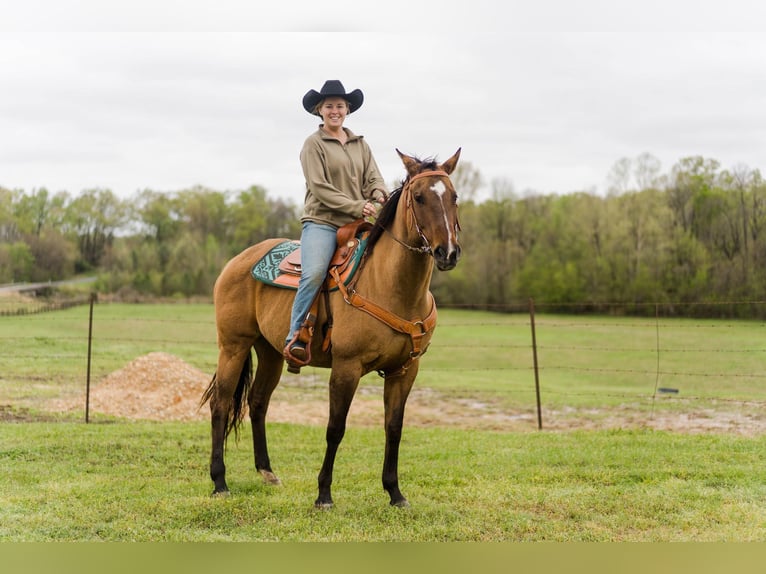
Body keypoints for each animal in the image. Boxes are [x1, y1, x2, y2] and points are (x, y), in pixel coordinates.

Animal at [201, 148, 462, 508]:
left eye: (454, 196)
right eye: (419, 197)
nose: (447, 252)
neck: (390, 285)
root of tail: (236, 261)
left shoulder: (405, 370)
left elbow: (393, 428)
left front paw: (395, 493)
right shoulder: (346, 368)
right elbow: (335, 428)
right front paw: (324, 494)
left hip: (271, 352)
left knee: (258, 402)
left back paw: (267, 472)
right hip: (233, 346)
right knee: (221, 404)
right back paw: (219, 482)